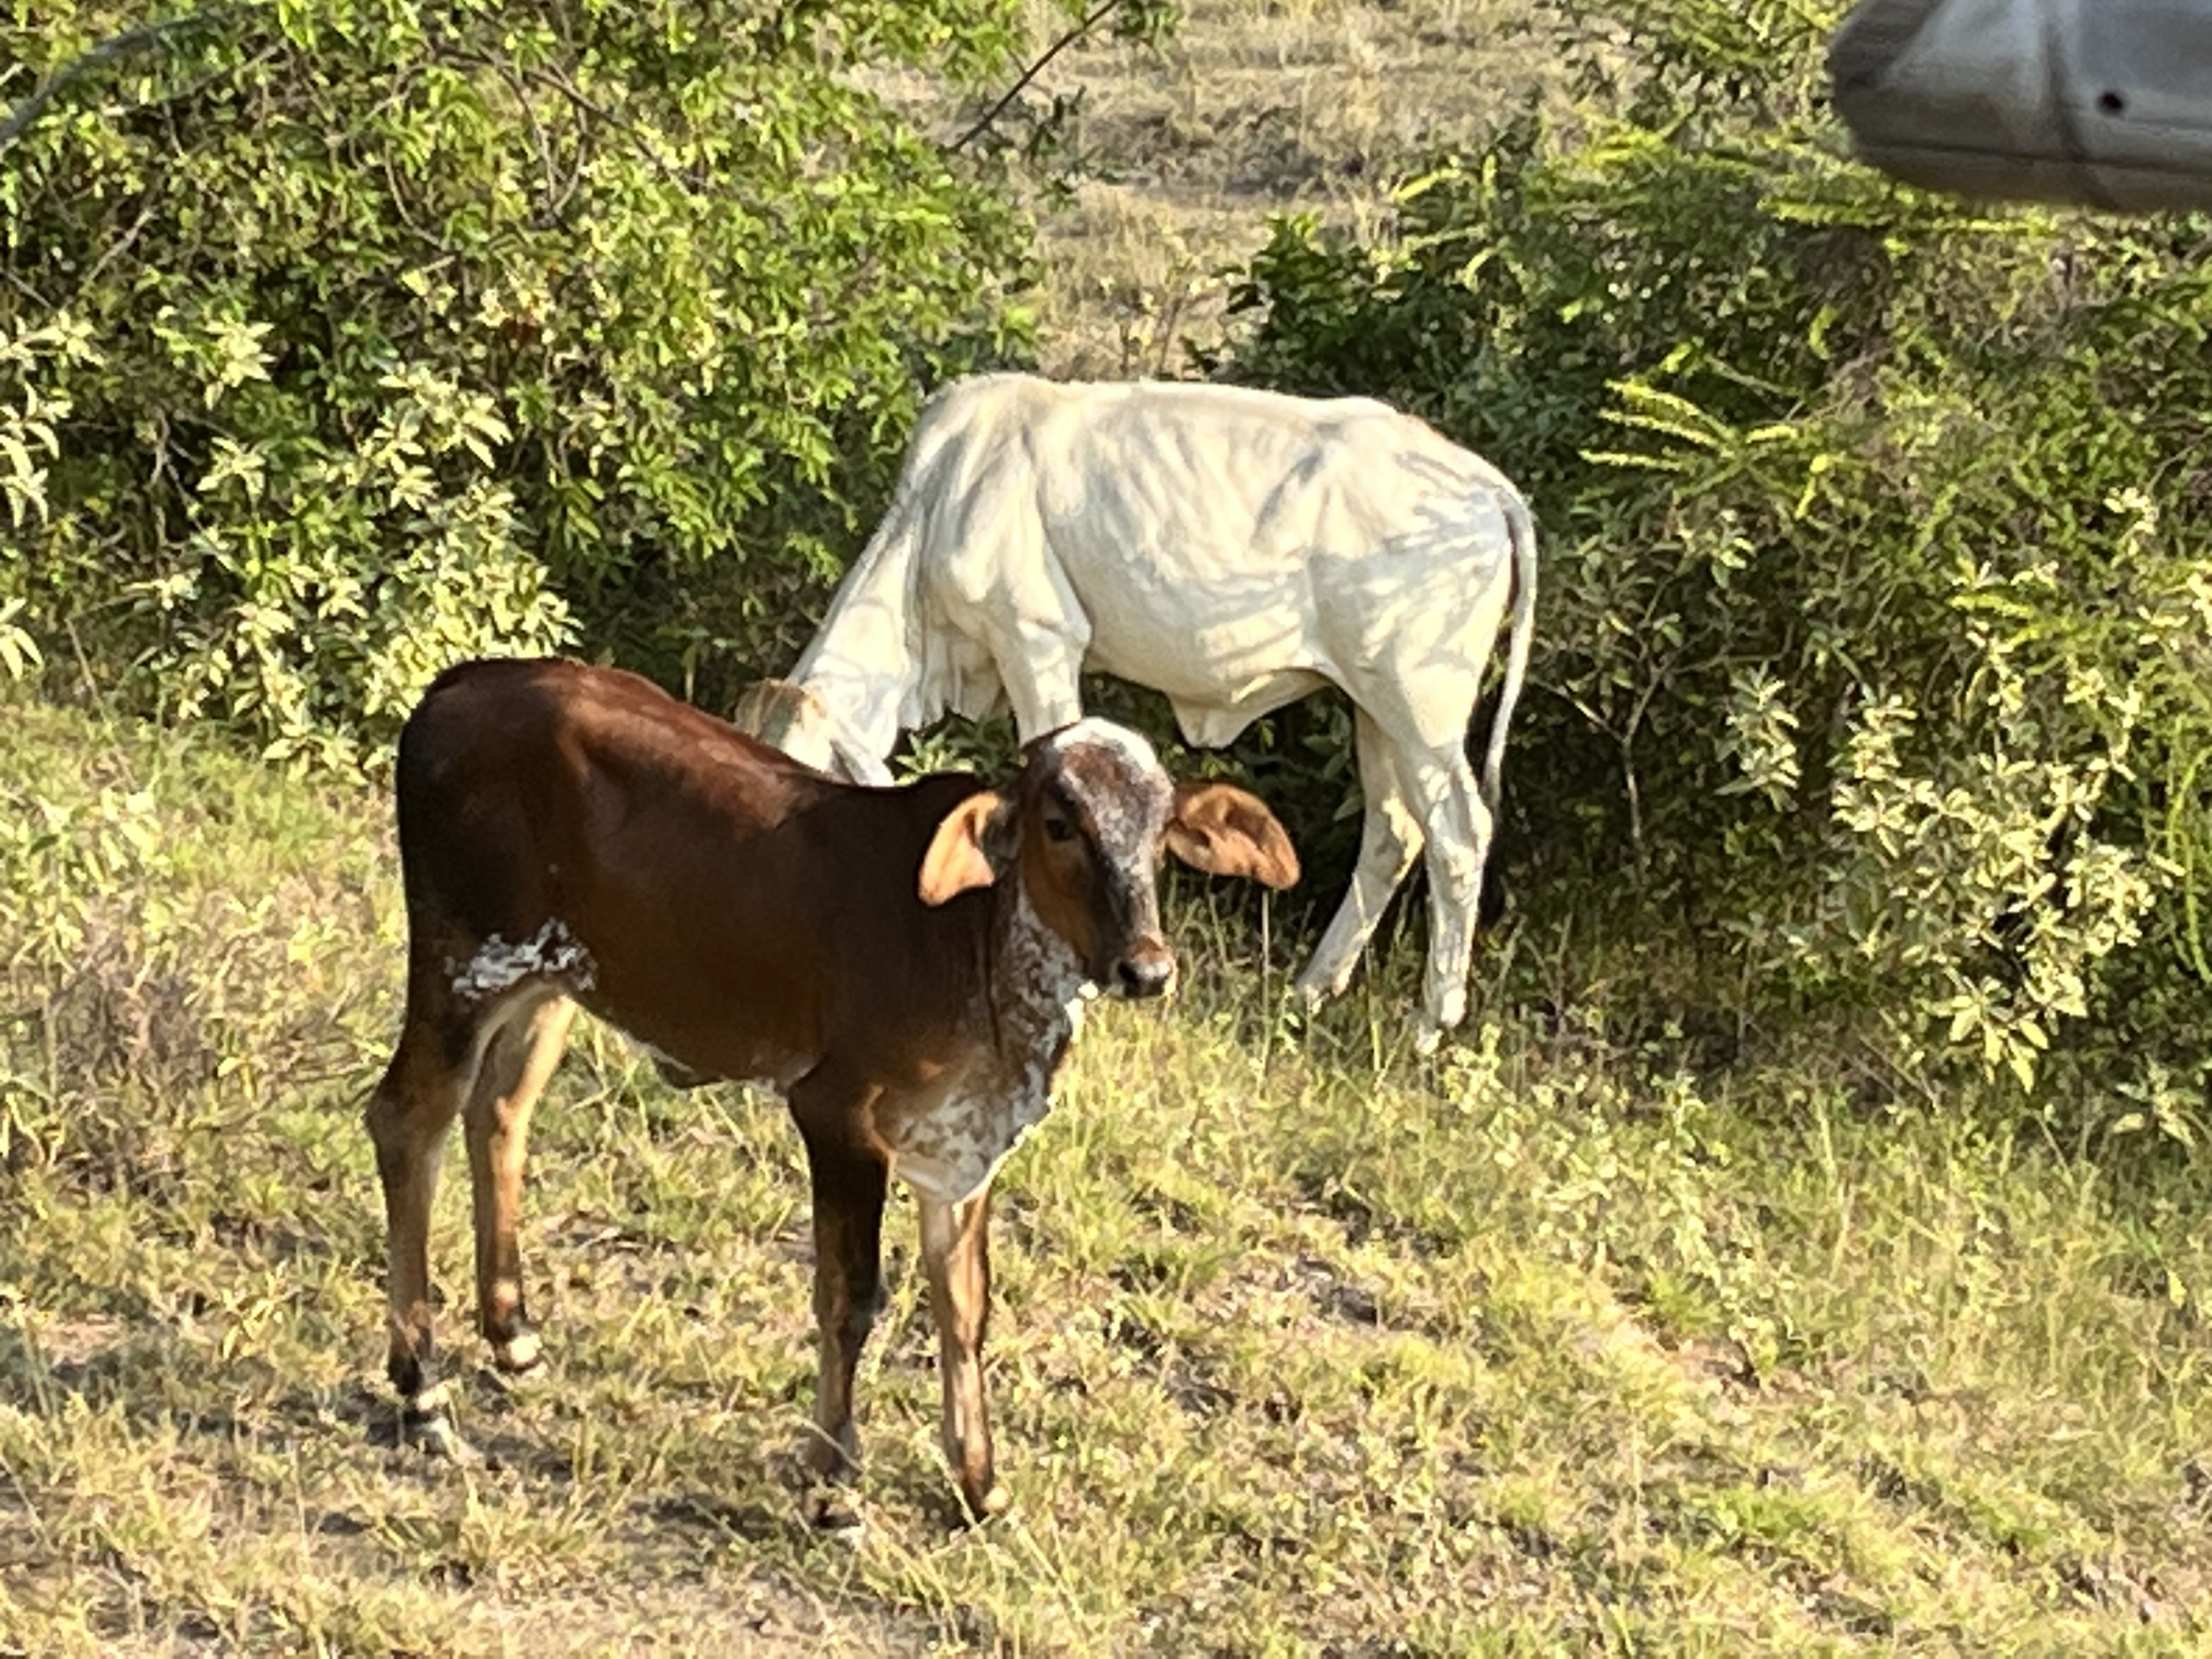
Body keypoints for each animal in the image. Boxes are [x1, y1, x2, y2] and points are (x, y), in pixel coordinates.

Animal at [365, 659, 1291, 1522]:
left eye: (1162, 833)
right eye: (1060, 825)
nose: (1147, 968)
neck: (980, 948)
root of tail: (460, 685)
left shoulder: (964, 1151)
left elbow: (965, 1307)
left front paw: (979, 1483)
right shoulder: (840, 1115)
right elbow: (851, 1298)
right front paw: (834, 1488)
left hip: (551, 984)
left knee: (500, 1115)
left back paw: (513, 1335)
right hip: (463, 967)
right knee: (407, 1120)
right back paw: (424, 1392)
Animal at [743, 376, 1539, 1053]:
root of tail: (1487, 485)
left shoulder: (1037, 639)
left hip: (1420, 707)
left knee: (1459, 835)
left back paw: (1430, 1025)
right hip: (1374, 709)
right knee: (1393, 834)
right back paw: (1309, 991)